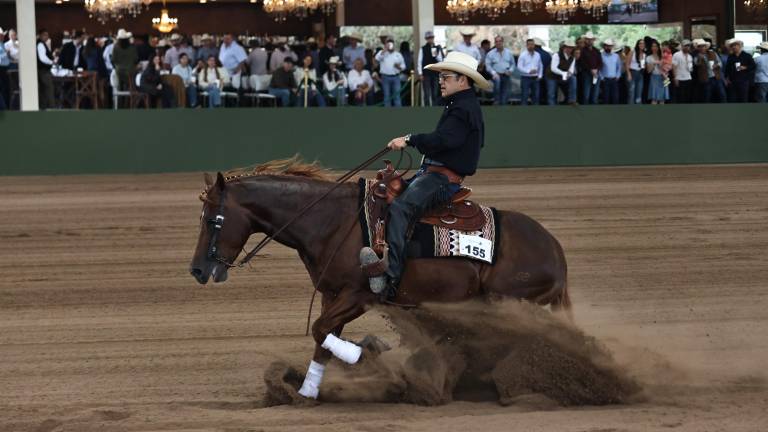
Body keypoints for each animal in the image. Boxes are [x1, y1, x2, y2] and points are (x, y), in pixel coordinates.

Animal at [189, 157, 571, 400]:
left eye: (213, 219)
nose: (197, 270)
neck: (332, 222)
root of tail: (555, 251)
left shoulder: (358, 296)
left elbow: (321, 331)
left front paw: (364, 354)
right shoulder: (332, 295)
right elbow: (322, 339)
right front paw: (307, 391)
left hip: (505, 304)